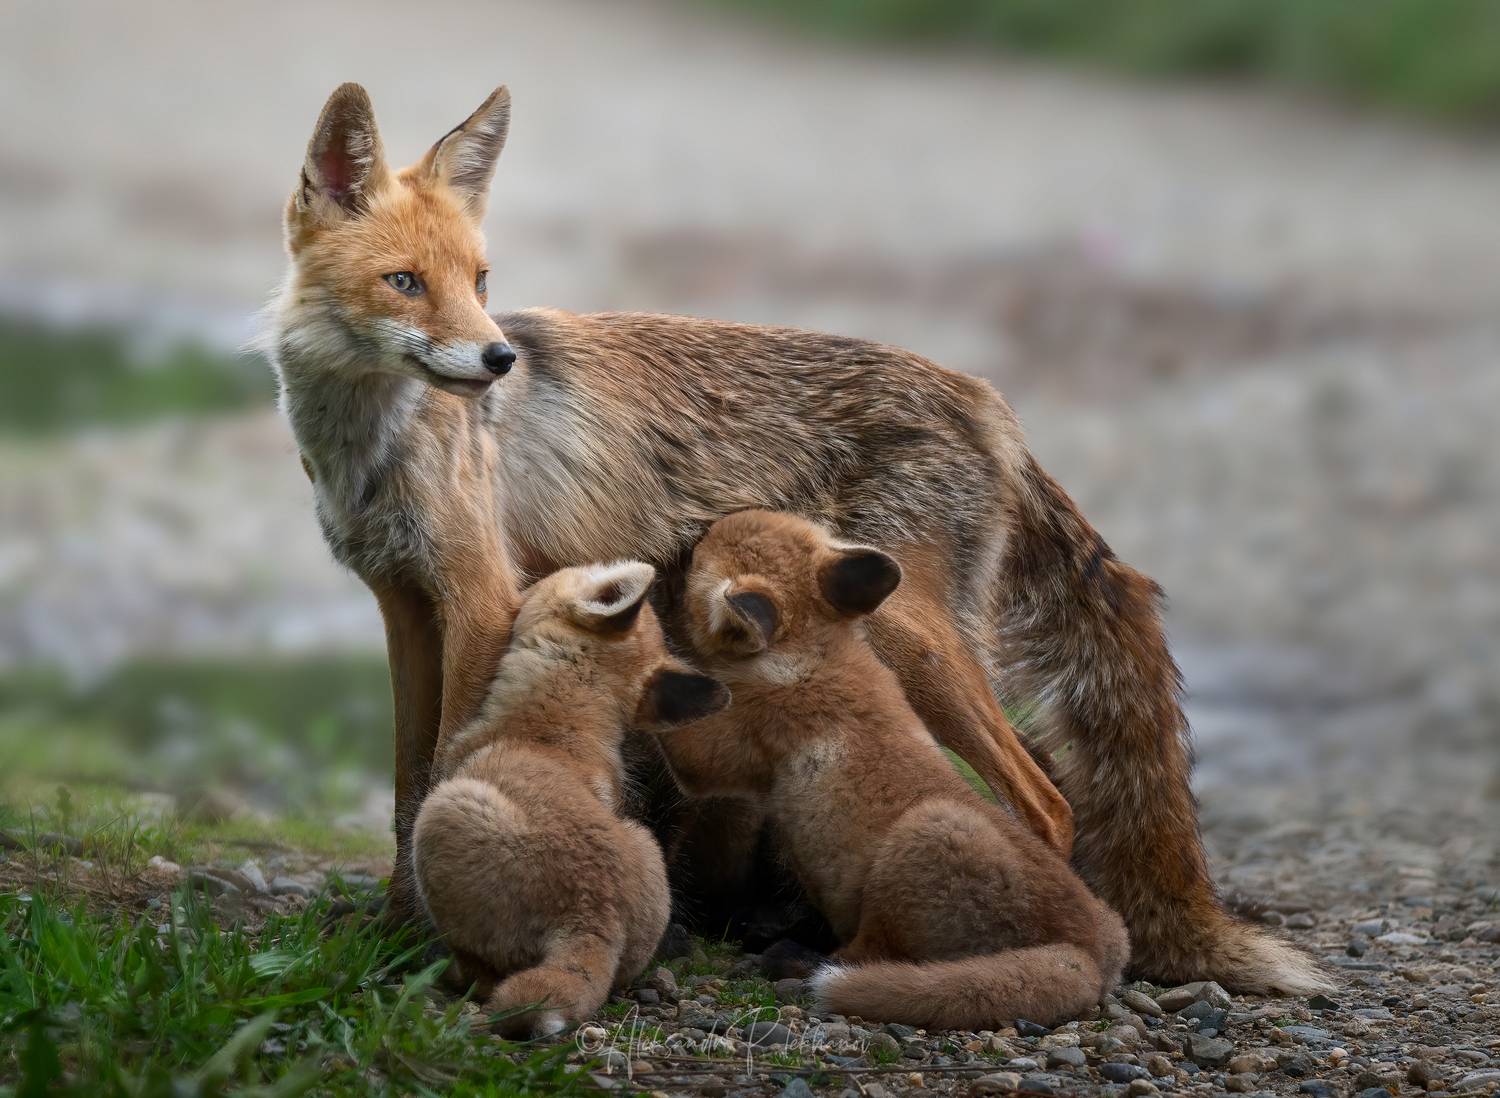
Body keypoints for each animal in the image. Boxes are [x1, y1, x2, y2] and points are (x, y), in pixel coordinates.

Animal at [412, 560, 729, 1038]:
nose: (527, 579)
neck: (558, 724)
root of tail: (594, 920)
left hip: (444, 811)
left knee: (482, 976)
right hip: (644, 840)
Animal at [649, 510, 1129, 1028]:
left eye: (700, 553)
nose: (688, 539)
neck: (815, 649)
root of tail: (1094, 959)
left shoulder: (727, 750)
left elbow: (685, 735)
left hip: (926, 840)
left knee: (869, 953)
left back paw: (794, 959)